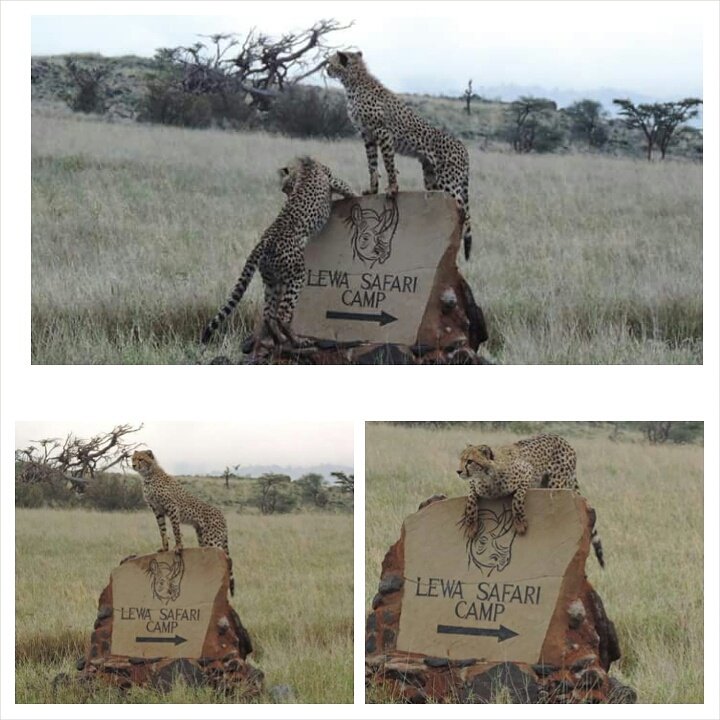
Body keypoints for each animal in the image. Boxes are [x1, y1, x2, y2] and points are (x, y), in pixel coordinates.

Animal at [131, 449, 236, 595]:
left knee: (226, 559)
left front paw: (178, 547)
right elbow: (162, 530)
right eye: (133, 458)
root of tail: (222, 515)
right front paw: (165, 548)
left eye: (141, 459)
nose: (133, 465)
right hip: (202, 539)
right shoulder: (157, 510)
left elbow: (176, 529)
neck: (148, 475)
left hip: (212, 539)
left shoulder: (172, 507)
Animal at [200, 156, 356, 348]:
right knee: (282, 315)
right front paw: (359, 194)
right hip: (296, 275)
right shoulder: (331, 179)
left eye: (286, 187)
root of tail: (262, 243)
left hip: (271, 281)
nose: (285, 193)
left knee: (268, 315)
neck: (303, 164)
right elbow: (346, 186)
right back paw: (297, 341)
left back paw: (279, 340)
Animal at [326, 50, 474, 260]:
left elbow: (388, 164)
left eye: (330, 62)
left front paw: (392, 189)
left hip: (450, 182)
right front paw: (373, 190)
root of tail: (463, 146)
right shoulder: (368, 136)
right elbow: (372, 165)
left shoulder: (383, 132)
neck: (353, 82)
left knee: (463, 212)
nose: (327, 70)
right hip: (432, 179)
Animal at [456, 434, 605, 567]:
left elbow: (517, 498)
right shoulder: (474, 484)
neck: (489, 477)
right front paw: (471, 526)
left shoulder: (528, 472)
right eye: (461, 460)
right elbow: (471, 499)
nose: (458, 471)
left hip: (556, 483)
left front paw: (520, 523)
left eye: (470, 461)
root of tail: (561, 438)